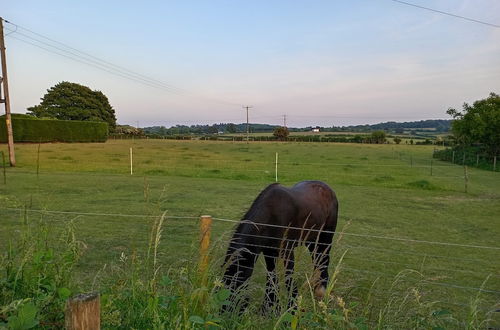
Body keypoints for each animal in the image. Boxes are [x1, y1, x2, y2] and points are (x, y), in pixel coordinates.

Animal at [223, 180, 340, 312]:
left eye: (236, 282)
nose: (223, 311)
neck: (271, 215)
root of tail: (328, 189)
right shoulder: (269, 252)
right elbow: (272, 276)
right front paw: (269, 307)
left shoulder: (287, 251)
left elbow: (288, 277)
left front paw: (292, 307)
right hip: (311, 240)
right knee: (317, 260)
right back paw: (316, 287)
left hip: (325, 238)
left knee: (324, 260)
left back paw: (322, 290)